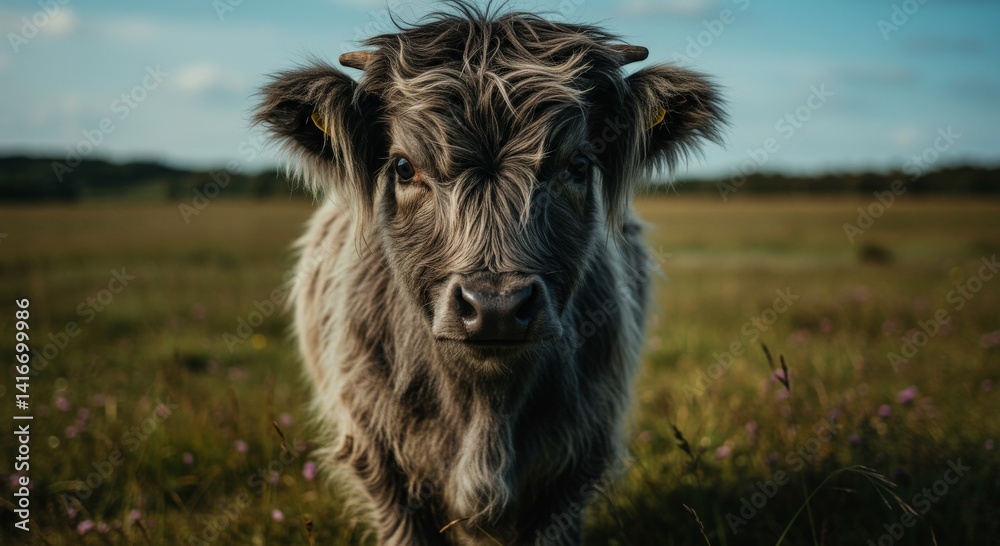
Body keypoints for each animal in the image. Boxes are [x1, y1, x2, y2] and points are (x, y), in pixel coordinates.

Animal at [255, 2, 724, 544]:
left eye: (578, 165)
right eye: (403, 166)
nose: (495, 307)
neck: (486, 406)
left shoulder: (579, 461)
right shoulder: (378, 460)